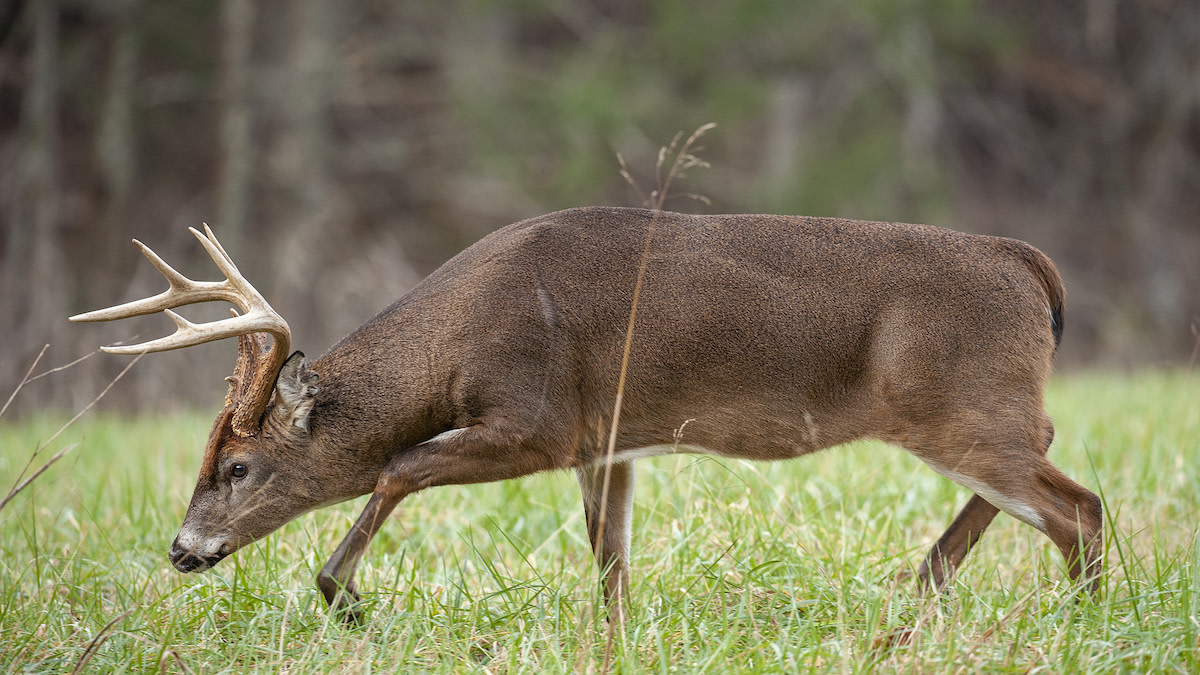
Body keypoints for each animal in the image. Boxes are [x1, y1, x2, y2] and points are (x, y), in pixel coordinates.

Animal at [70, 207, 1099, 624]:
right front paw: (615, 634)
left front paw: (344, 595)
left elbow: (398, 463)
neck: (461, 334)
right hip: (970, 412)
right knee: (1042, 482)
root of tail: (1032, 263)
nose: (181, 549)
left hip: (960, 405)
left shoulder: (536, 419)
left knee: (1077, 504)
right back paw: (924, 583)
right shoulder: (607, 443)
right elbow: (610, 561)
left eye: (237, 468)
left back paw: (1076, 615)